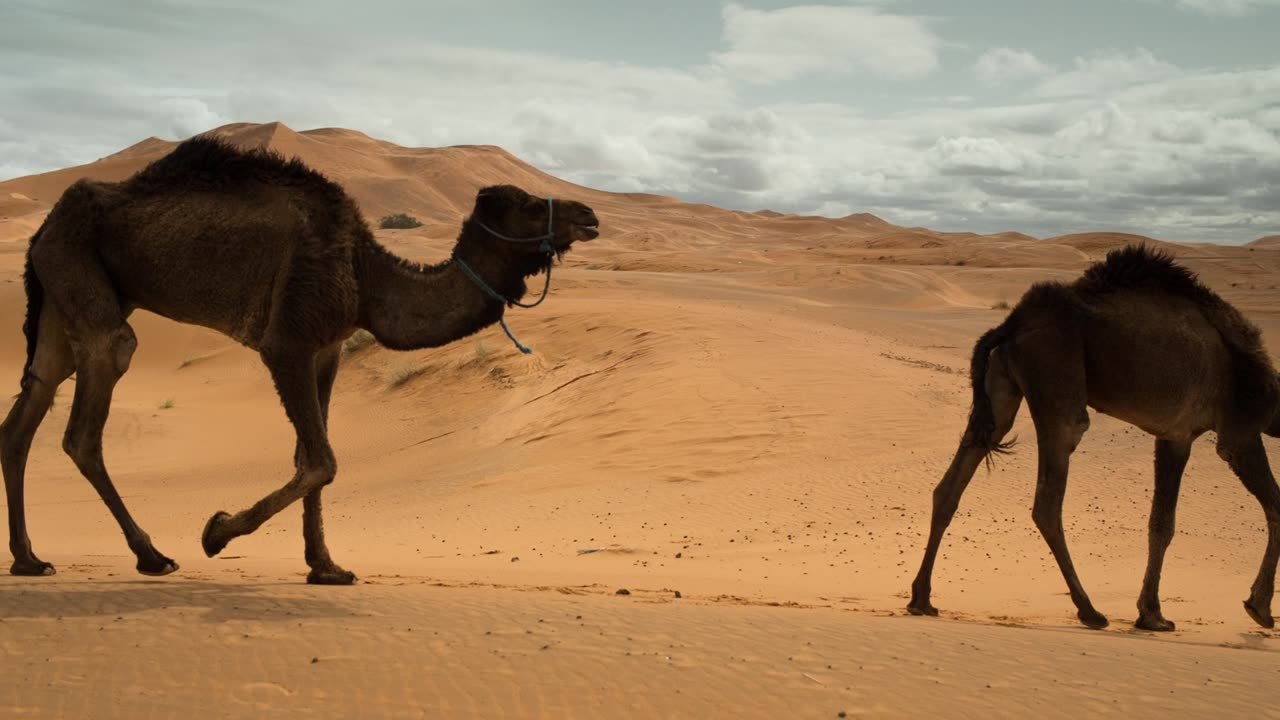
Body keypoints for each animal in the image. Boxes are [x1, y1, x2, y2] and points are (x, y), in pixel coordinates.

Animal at [1, 135, 599, 584]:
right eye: (529, 205)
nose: (590, 214)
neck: (365, 275)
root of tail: (44, 226)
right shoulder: (286, 341)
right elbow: (322, 461)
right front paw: (216, 532)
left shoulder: (326, 348)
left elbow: (308, 455)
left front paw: (326, 567)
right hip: (82, 277)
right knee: (91, 408)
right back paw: (152, 556)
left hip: (60, 296)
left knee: (27, 410)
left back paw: (29, 559)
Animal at [906, 244, 1280, 627]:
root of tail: (1010, 324)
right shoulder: (1239, 430)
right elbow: (1276, 507)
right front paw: (1259, 608)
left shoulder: (1176, 436)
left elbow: (1162, 522)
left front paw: (1152, 614)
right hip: (1057, 378)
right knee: (1048, 500)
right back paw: (1089, 609)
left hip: (1000, 391)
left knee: (952, 484)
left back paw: (921, 598)